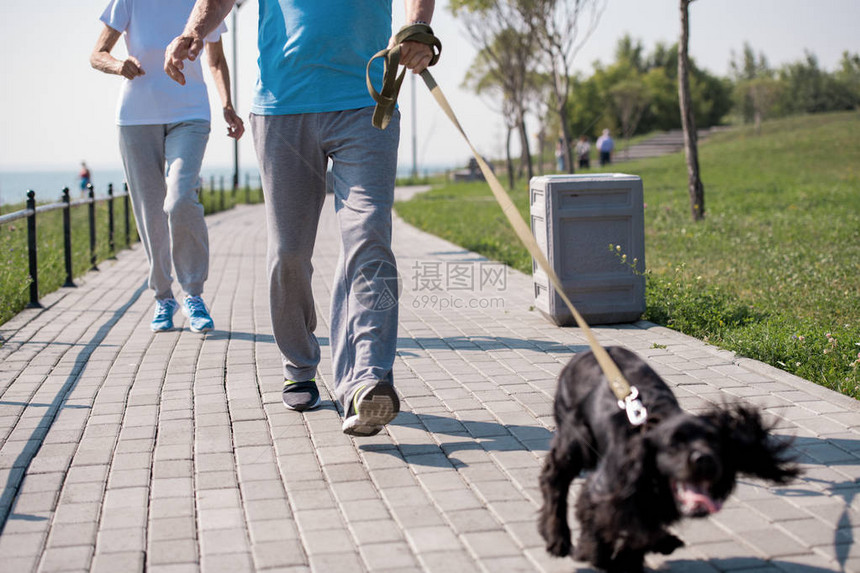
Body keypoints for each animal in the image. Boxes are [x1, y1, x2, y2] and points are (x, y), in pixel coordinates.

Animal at [536, 346, 800, 568]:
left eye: (714, 442)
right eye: (673, 444)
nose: (705, 460)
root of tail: (584, 353)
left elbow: (639, 531)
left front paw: (645, 550)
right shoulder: (605, 490)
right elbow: (602, 520)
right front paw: (593, 553)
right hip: (578, 440)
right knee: (554, 478)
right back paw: (558, 539)